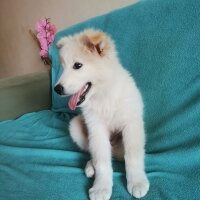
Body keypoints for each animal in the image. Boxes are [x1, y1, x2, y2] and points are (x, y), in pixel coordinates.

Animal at [54, 29, 150, 200]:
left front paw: (137, 182)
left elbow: (133, 156)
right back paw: (90, 167)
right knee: (94, 153)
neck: (103, 95)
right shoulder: (96, 129)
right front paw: (101, 188)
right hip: (76, 126)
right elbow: (102, 162)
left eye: (77, 65)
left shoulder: (131, 124)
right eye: (63, 67)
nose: (57, 89)